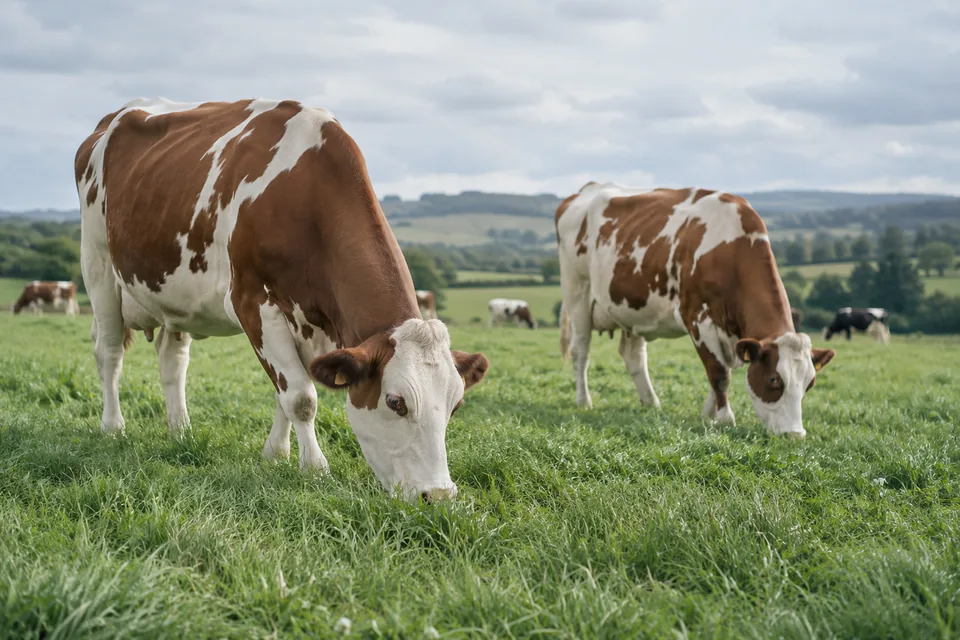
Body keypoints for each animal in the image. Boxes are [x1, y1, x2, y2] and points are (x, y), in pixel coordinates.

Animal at [74, 97, 490, 503]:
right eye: (395, 402)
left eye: (455, 405)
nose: (439, 495)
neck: (306, 195)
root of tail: (113, 118)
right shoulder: (253, 302)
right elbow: (301, 396)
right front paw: (315, 469)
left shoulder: (311, 321)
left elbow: (286, 389)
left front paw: (276, 454)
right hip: (98, 265)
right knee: (109, 352)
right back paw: (113, 426)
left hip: (173, 293)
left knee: (172, 360)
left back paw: (180, 431)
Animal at [556, 182, 835, 439]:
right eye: (774, 380)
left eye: (810, 383)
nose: (795, 434)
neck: (729, 250)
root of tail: (588, 189)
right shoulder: (698, 319)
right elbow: (719, 373)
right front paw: (725, 419)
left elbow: (720, 370)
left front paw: (708, 415)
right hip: (577, 293)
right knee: (581, 351)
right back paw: (584, 401)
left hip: (630, 307)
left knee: (633, 356)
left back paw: (651, 402)